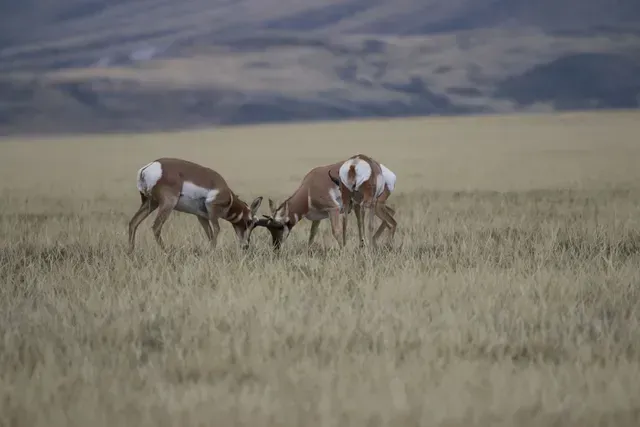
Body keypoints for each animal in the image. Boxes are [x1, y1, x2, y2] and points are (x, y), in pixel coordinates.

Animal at [127, 157, 263, 253]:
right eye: (250, 222)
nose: (246, 245)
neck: (227, 194)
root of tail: (148, 167)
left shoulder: (201, 216)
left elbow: (209, 234)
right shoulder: (212, 208)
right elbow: (217, 229)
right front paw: (212, 252)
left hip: (150, 203)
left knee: (133, 222)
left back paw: (131, 253)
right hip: (167, 204)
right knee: (156, 227)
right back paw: (167, 251)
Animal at [258, 158, 397, 250]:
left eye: (280, 227)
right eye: (270, 229)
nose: (276, 247)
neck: (310, 186)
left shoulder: (333, 210)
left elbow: (336, 231)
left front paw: (343, 251)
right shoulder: (317, 217)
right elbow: (312, 234)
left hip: (376, 204)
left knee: (391, 222)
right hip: (378, 205)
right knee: (391, 214)